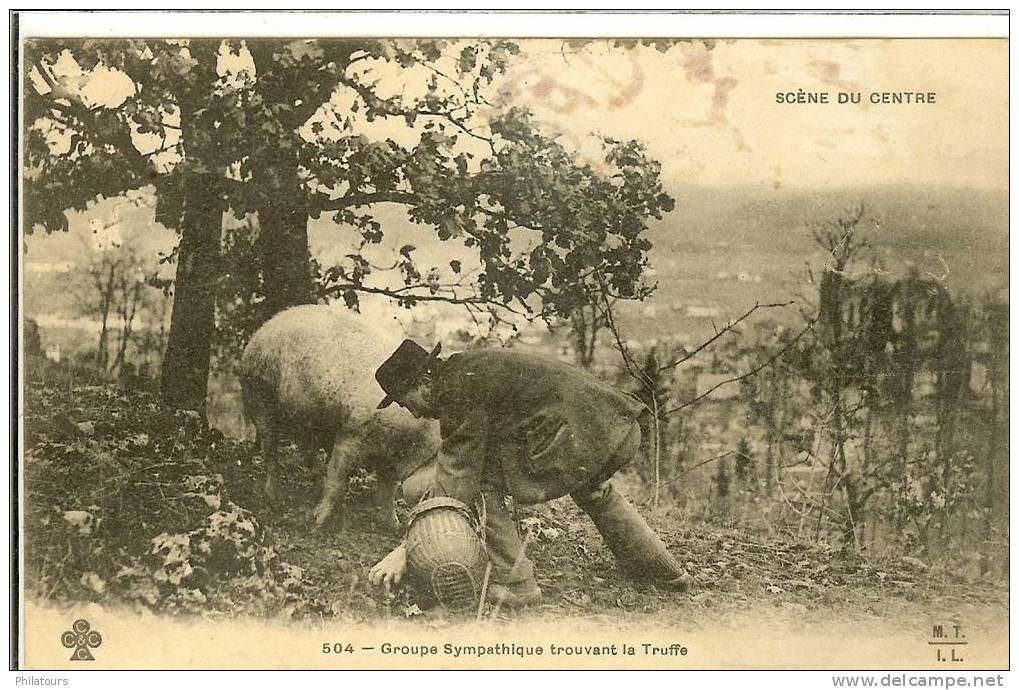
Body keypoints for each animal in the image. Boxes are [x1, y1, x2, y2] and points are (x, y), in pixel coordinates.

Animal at [242, 305, 442, 525]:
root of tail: (263, 329)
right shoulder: (352, 434)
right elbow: (337, 478)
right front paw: (317, 523)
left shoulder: (390, 461)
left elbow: (387, 491)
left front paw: (392, 524)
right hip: (260, 396)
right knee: (270, 449)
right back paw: (275, 498)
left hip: (305, 418)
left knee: (307, 452)